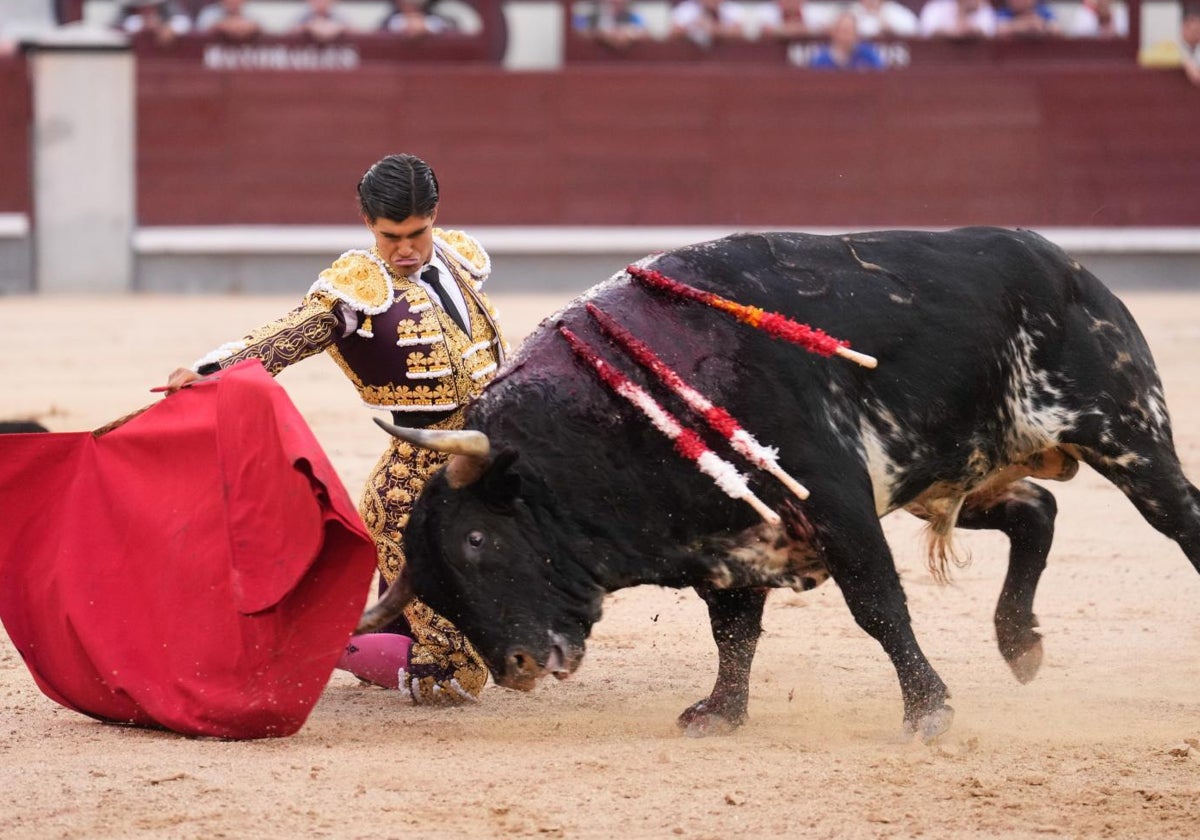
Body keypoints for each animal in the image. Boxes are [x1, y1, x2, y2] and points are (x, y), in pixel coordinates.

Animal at [350, 226, 1195, 739]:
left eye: (479, 538)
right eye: (435, 583)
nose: (518, 670)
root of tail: (1064, 263)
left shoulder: (835, 504)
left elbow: (878, 609)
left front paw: (928, 712)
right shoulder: (728, 538)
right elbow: (733, 632)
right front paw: (721, 714)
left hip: (1127, 431)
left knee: (1180, 518)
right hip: (958, 471)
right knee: (1036, 510)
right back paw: (1020, 645)